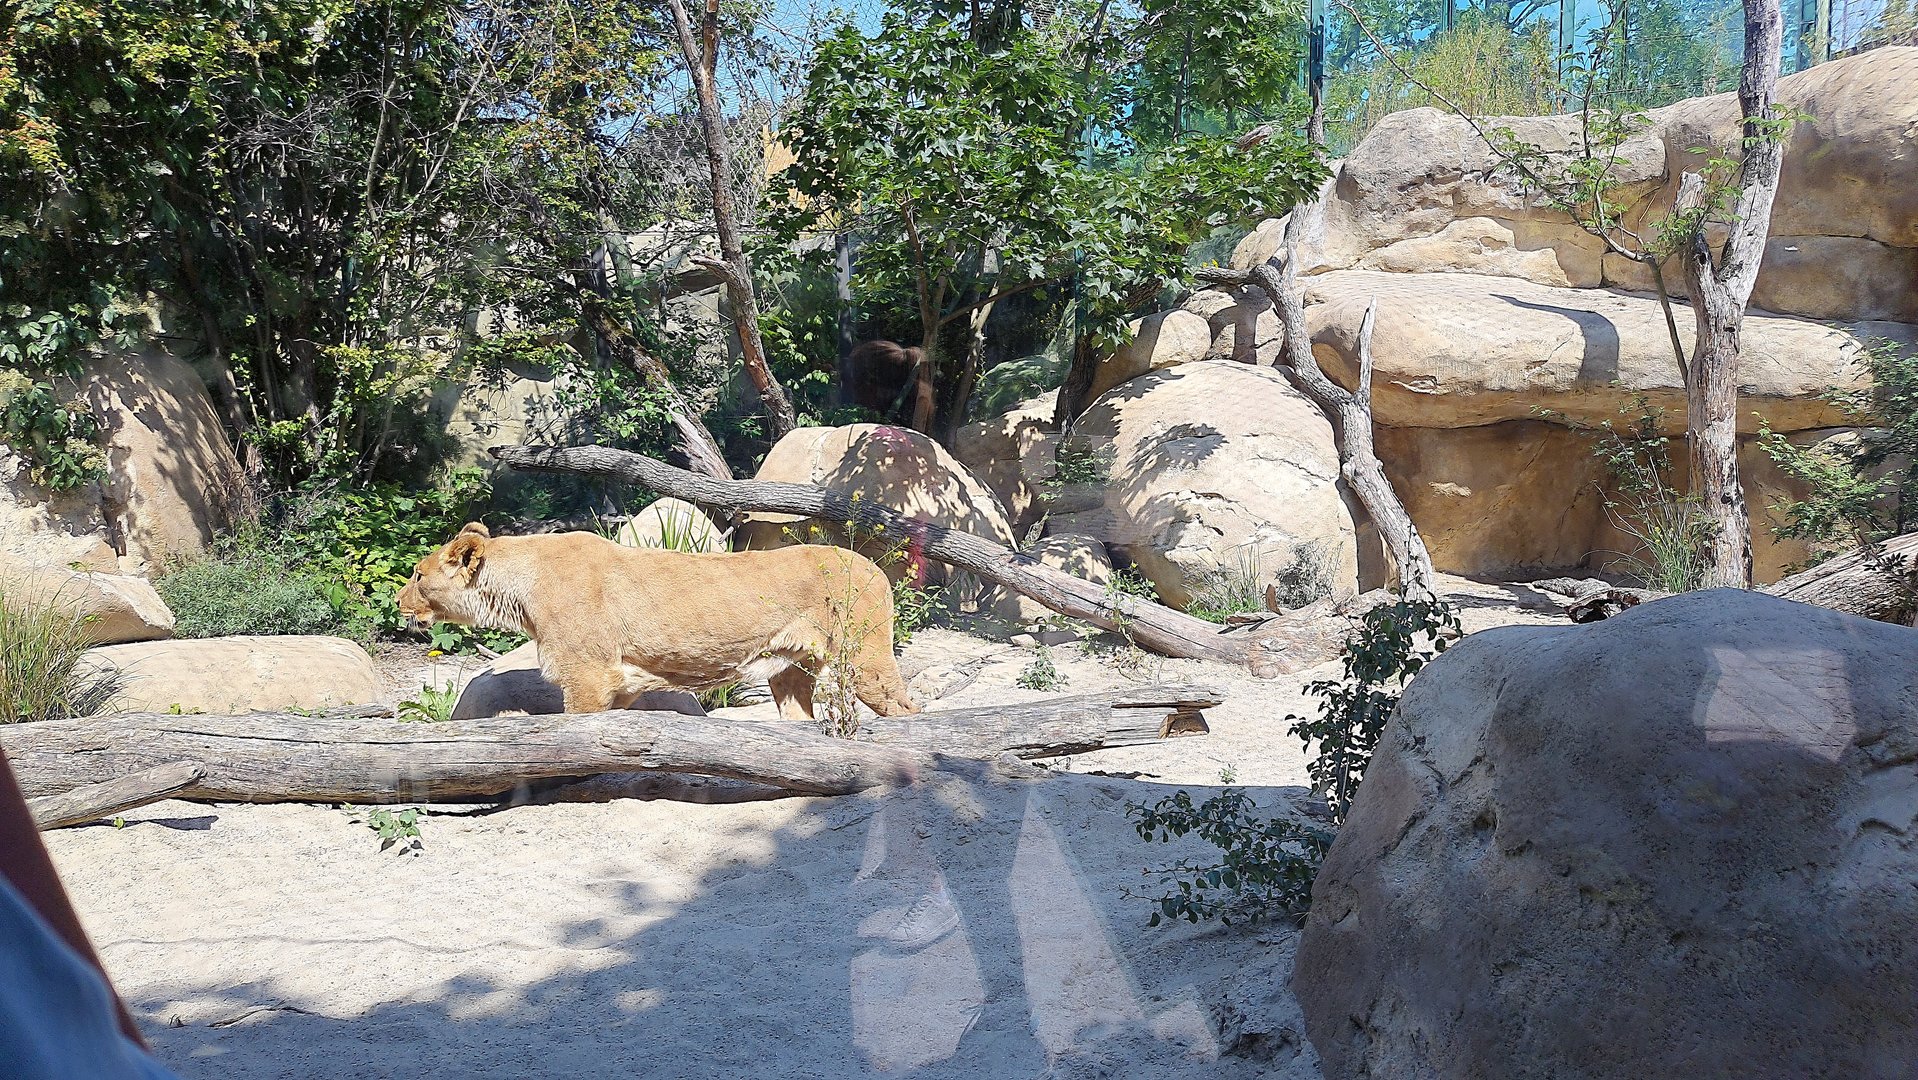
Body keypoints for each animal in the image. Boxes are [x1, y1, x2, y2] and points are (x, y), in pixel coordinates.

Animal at [396, 523, 919, 720]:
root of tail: (876, 568)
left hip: (866, 659)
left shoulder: (588, 675)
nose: (399, 601)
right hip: (790, 670)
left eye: (418, 575)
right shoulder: (620, 682)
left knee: (907, 712)